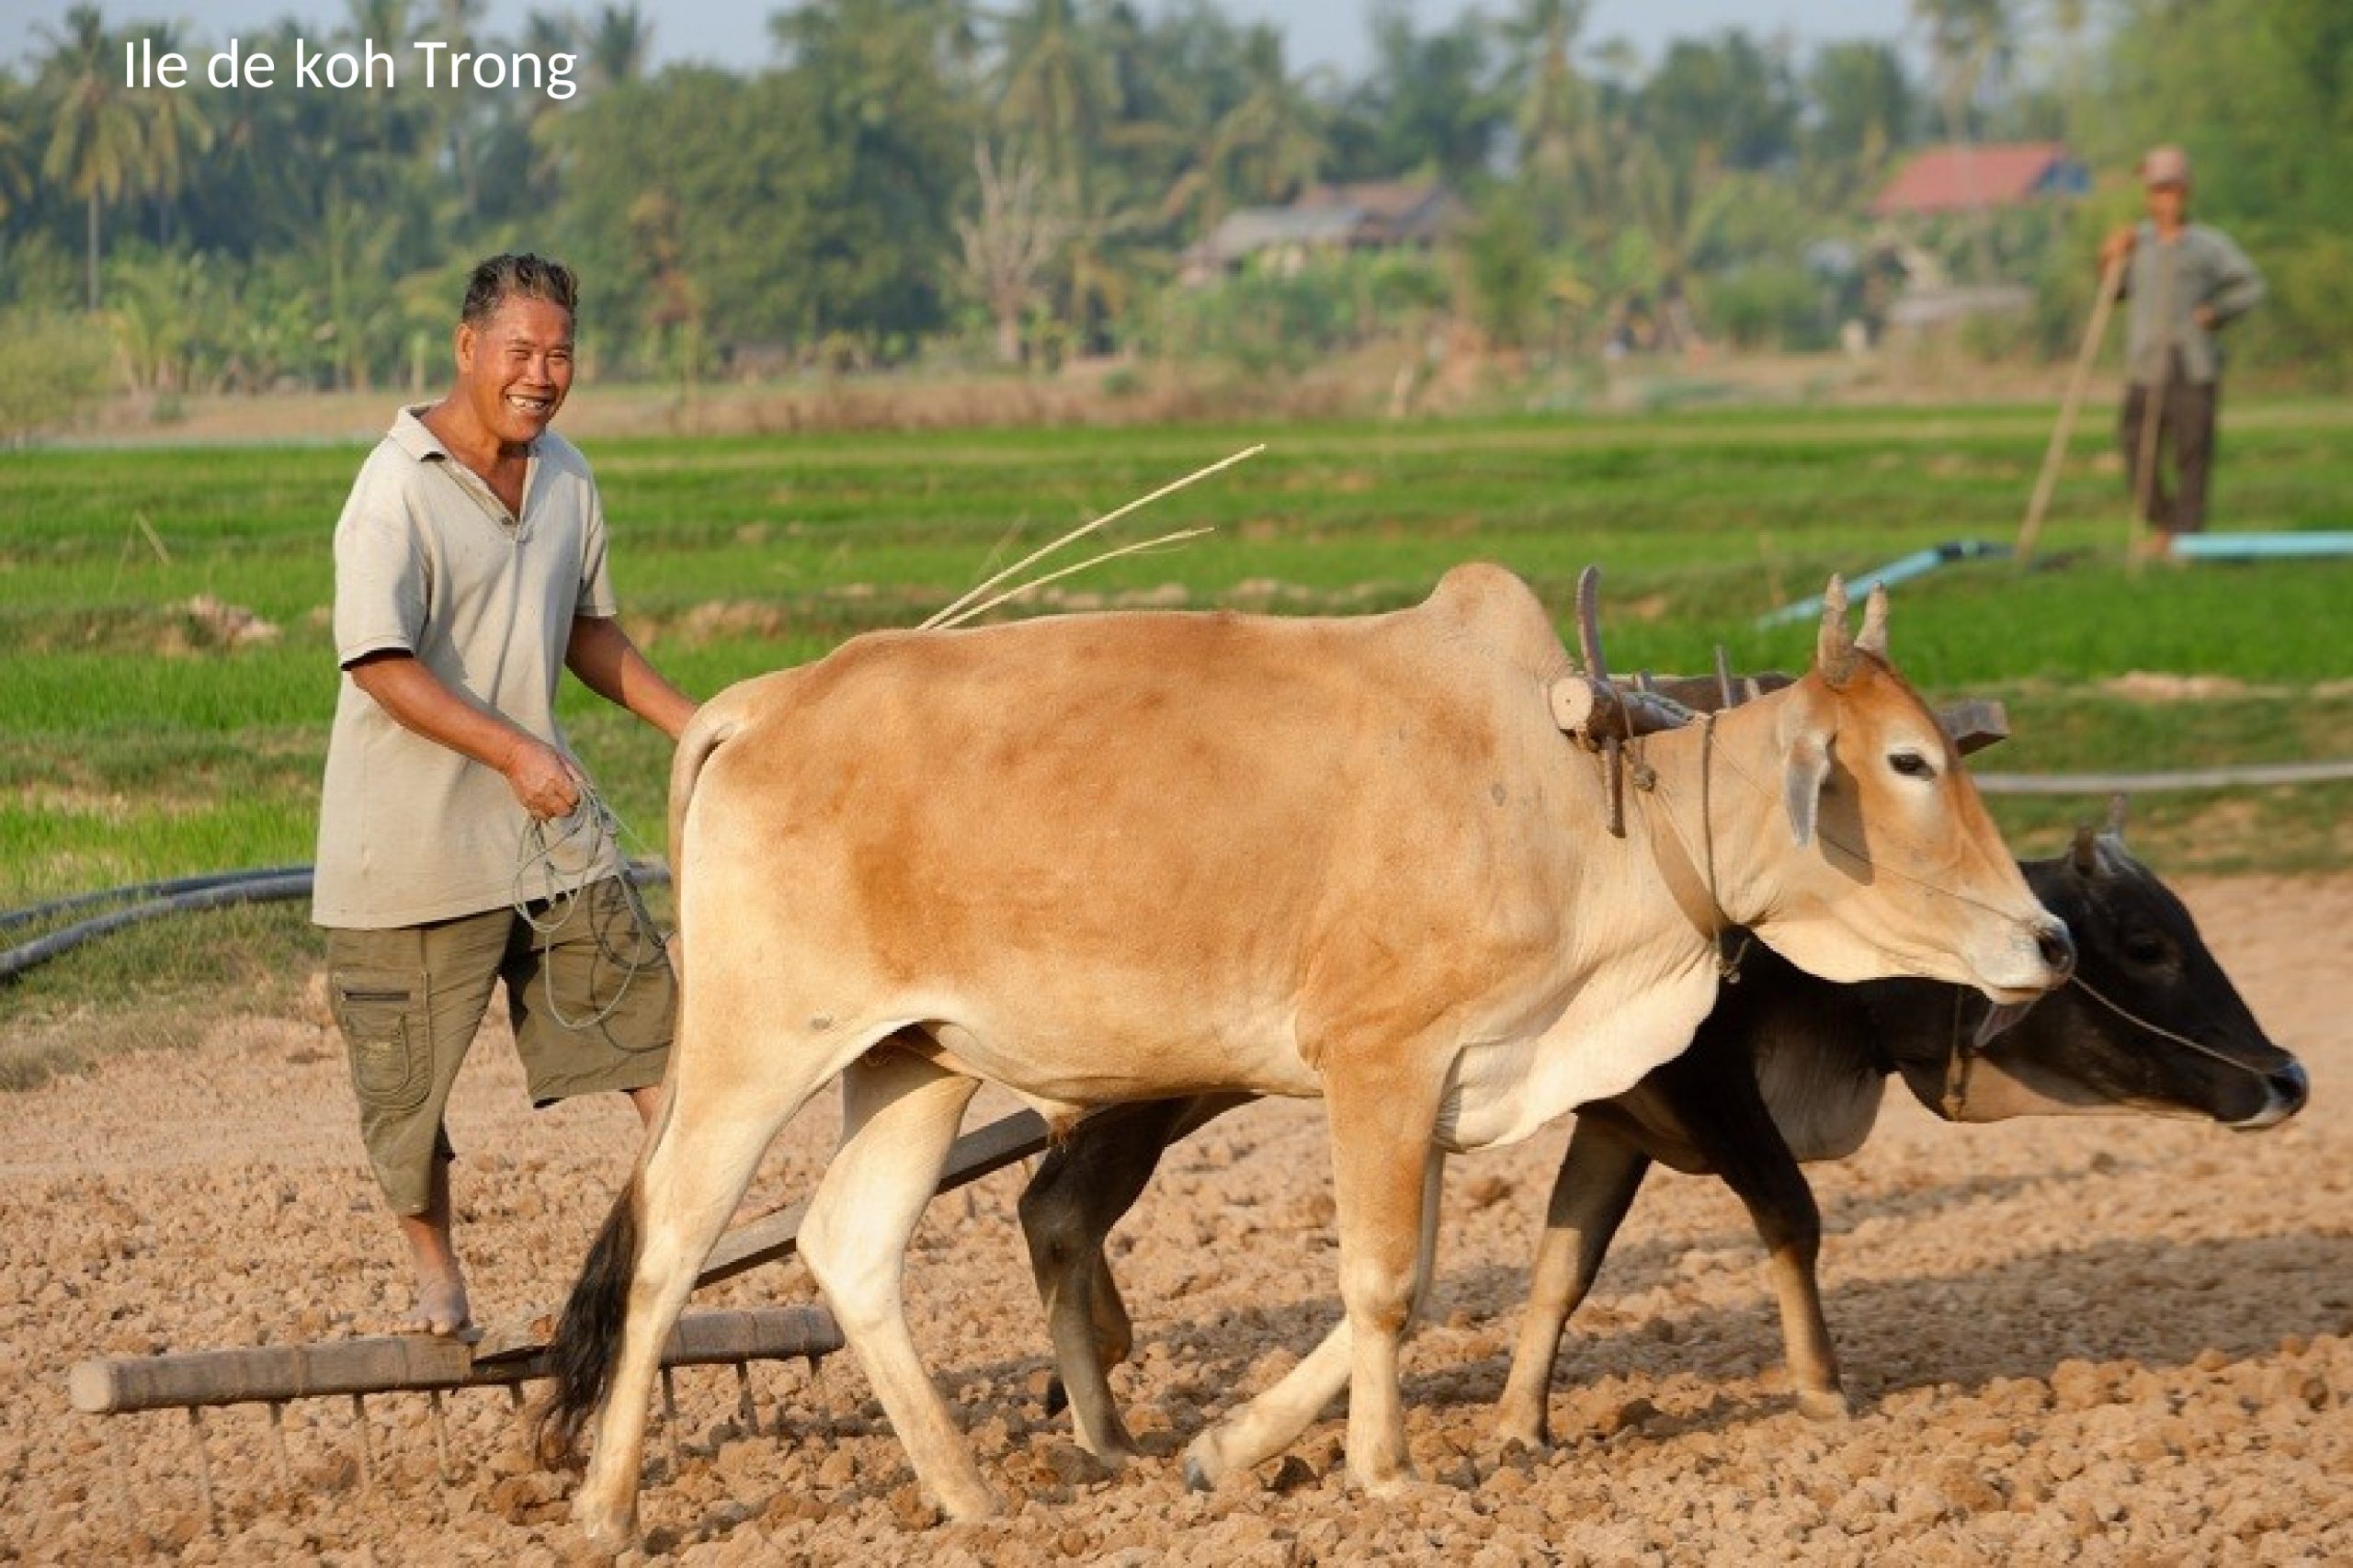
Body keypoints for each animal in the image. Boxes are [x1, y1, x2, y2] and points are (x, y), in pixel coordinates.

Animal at [539, 564, 2073, 1547]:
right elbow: (1385, 1283)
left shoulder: (1445, 1083)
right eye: (1909, 762)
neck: (1583, 798)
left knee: (850, 1245)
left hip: (916, 1057)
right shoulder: (1379, 1061)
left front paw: (1224, 1450)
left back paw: (975, 1497)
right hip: (753, 1046)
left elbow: (1413, 1283)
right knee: (671, 1243)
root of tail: (762, 700)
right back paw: (608, 1507)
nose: (2051, 936)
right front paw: (1386, 1477)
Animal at [1016, 809, 2308, 1460]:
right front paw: (1821, 1390)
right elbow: (1790, 1211)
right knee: (1056, 1211)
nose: (2287, 1075)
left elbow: (1561, 1267)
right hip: (1141, 1090)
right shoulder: (1711, 1087)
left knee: (1055, 1212)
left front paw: (1520, 1422)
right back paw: (1103, 1429)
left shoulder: (1622, 1122)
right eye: (2142, 940)